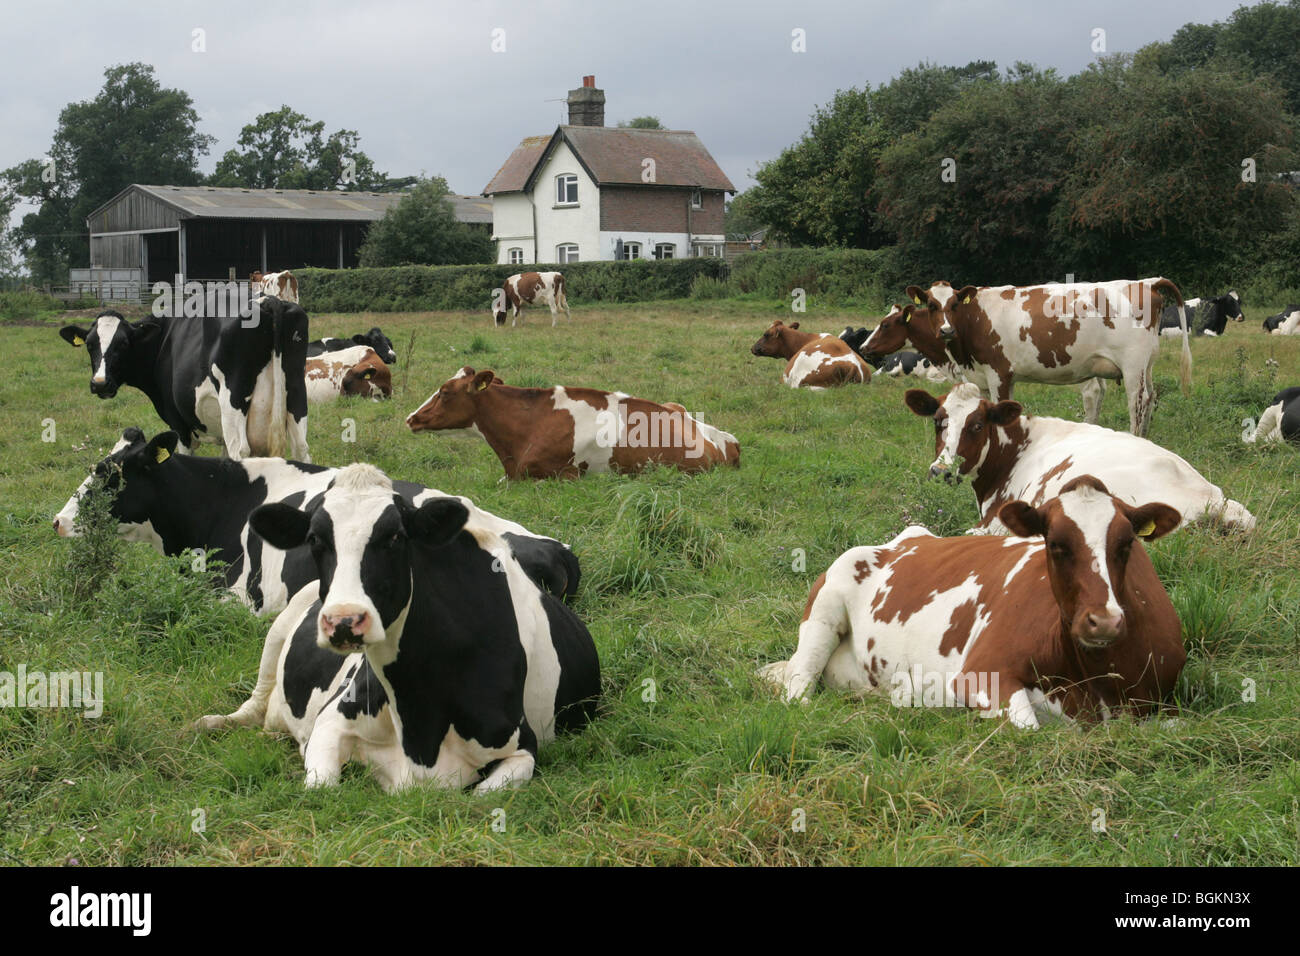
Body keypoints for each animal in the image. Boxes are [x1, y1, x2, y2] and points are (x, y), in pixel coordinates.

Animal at [60, 301, 310, 461]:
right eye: (90, 344)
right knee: (300, 448)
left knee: (240, 451)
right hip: (296, 395)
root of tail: (270, 301)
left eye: (122, 344)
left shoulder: (178, 424)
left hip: (233, 403)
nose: (100, 383)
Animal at [194, 463, 601, 793]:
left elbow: (484, 795)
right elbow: (321, 789)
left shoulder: (522, 750)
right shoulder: (330, 722)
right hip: (279, 628)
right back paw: (211, 723)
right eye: (314, 539)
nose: (343, 620)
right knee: (256, 700)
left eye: (395, 537)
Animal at [759, 475, 1186, 729]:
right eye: (1054, 543)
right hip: (824, 611)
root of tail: (907, 537)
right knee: (798, 689)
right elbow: (1029, 727)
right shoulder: (981, 671)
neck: (1097, 680)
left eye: (1126, 543)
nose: (1104, 622)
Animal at [904, 278, 1189, 436]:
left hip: (1132, 365)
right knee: (1150, 398)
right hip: (1147, 364)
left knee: (1137, 403)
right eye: (931, 306)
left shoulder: (1000, 374)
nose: (946, 330)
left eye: (954, 305)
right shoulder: (983, 377)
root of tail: (1145, 283)